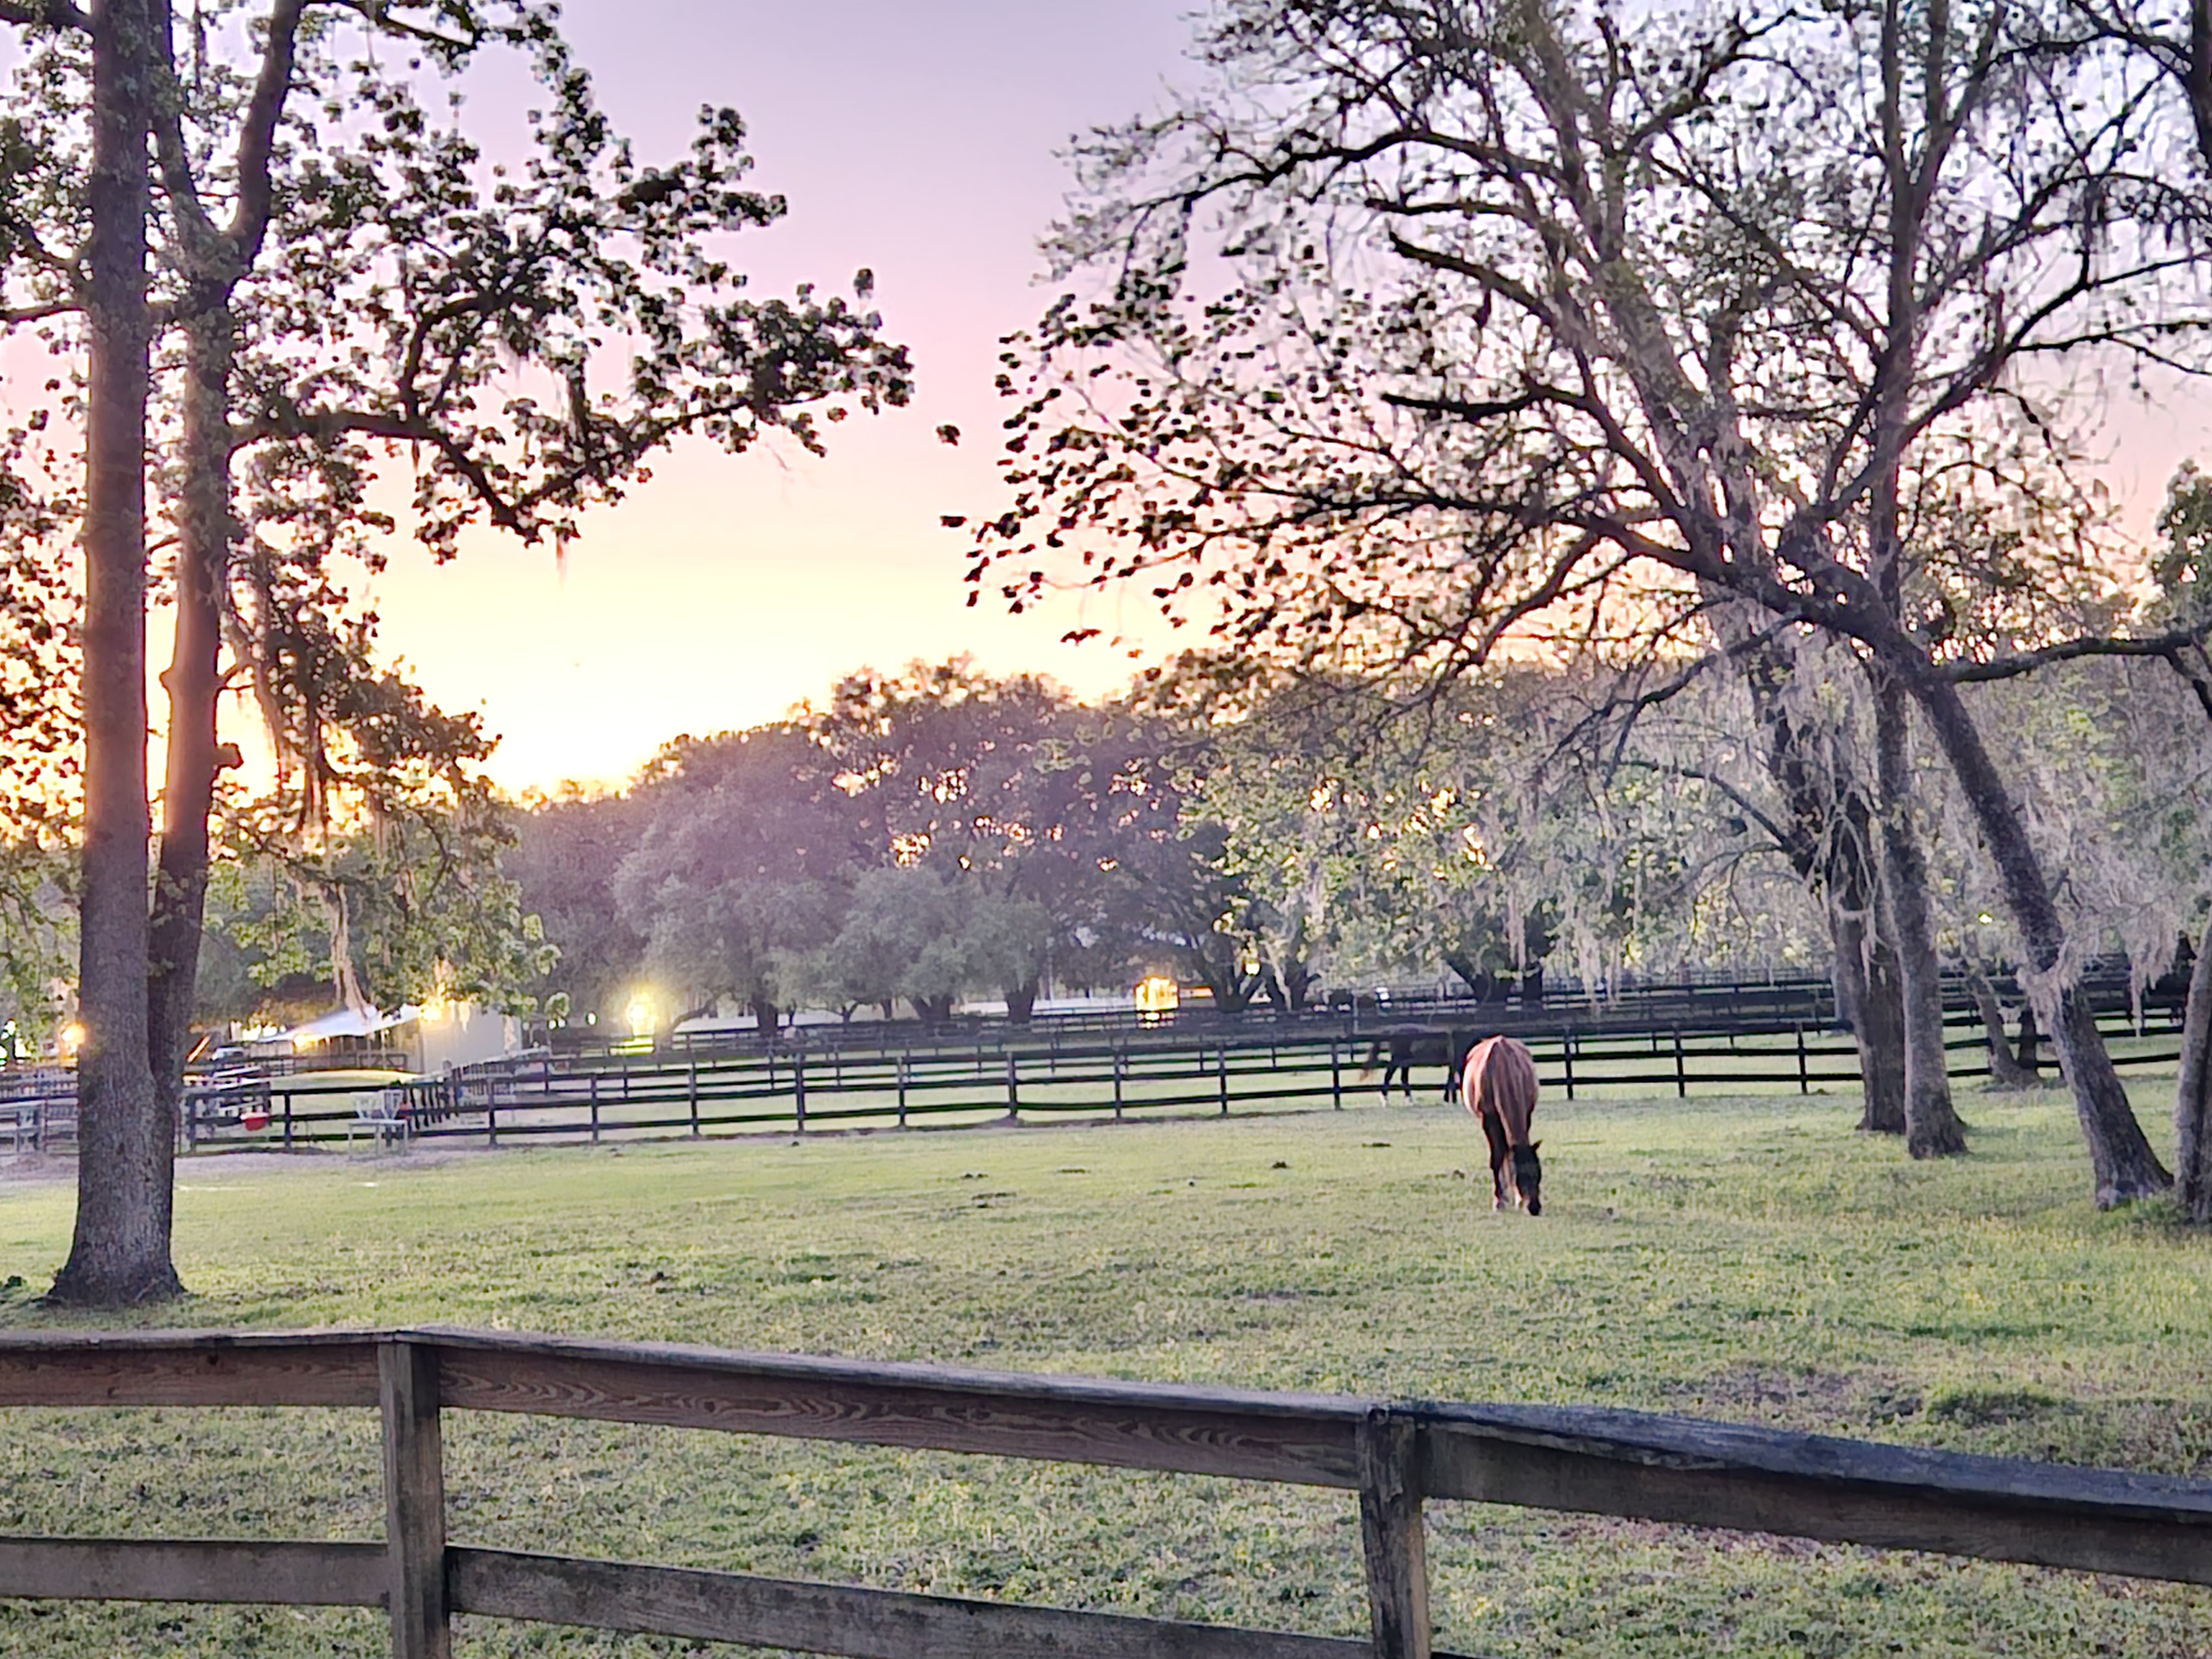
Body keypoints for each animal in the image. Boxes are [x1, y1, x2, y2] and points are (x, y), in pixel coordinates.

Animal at [1461, 1034, 1542, 1214]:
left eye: (1538, 1174)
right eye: (1519, 1176)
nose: (1534, 1208)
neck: (1500, 1066)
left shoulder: (1527, 1113)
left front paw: (1516, 1199)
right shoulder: (1489, 1119)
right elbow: (1496, 1157)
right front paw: (1499, 1200)